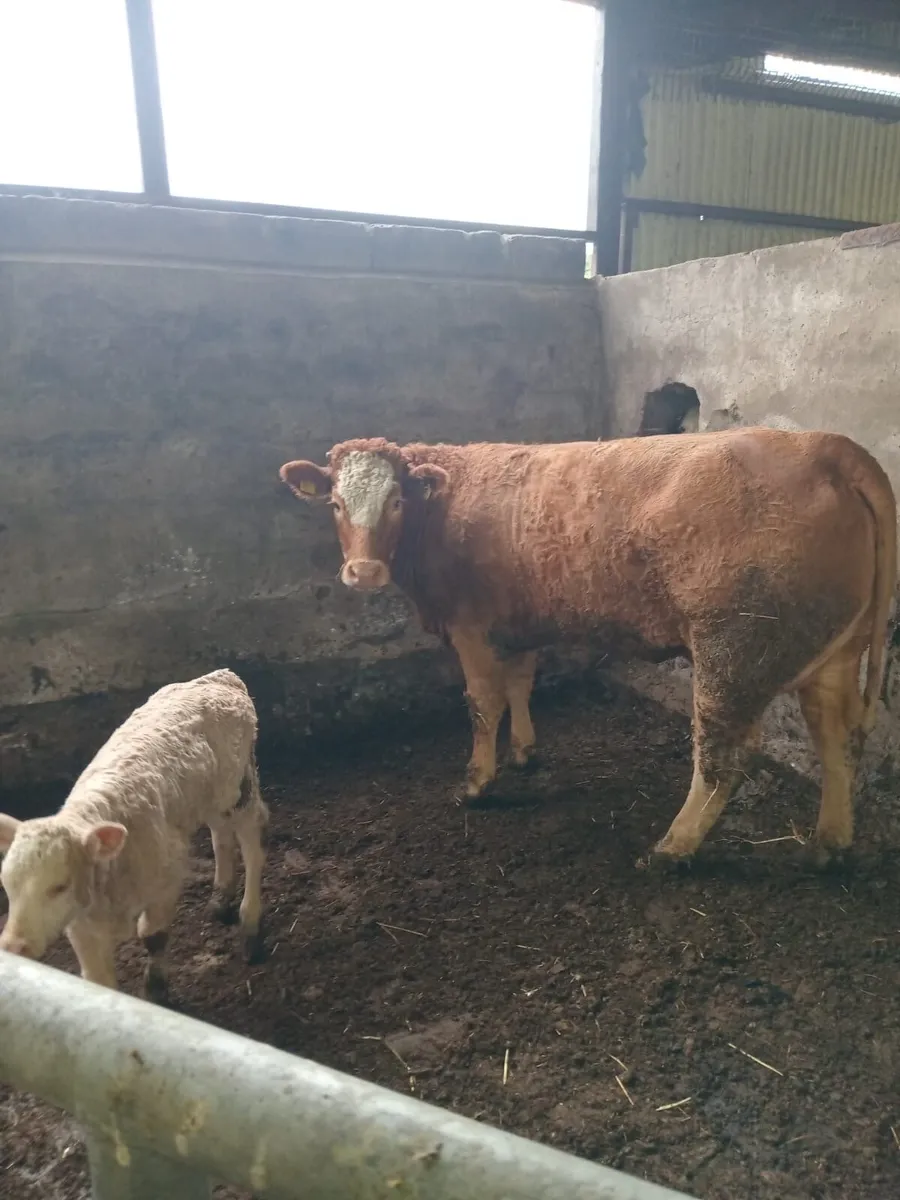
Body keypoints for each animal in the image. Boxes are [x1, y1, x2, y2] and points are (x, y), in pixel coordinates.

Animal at [0, 669, 268, 998]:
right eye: (6, 884)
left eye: (59, 886)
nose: (14, 946)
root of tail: (220, 677)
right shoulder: (81, 924)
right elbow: (97, 980)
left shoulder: (167, 879)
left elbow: (153, 936)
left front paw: (155, 989)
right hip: (209, 797)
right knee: (220, 834)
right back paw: (221, 897)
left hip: (239, 788)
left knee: (252, 844)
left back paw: (250, 925)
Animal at [280, 431, 896, 865]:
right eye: (335, 504)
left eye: (396, 502)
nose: (363, 571)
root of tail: (825, 445)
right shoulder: (518, 623)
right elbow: (521, 684)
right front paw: (525, 752)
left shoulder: (471, 626)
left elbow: (483, 703)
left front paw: (478, 782)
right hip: (834, 652)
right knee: (836, 738)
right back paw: (829, 844)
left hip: (734, 650)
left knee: (725, 753)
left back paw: (673, 848)